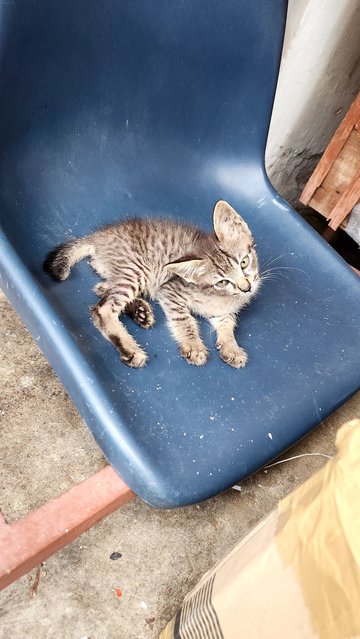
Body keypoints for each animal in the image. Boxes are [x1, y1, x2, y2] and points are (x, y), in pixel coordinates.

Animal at [44, 200, 258, 370]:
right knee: (102, 308)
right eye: (223, 281)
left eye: (244, 262)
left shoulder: (221, 311)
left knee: (102, 289)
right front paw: (193, 345)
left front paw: (231, 347)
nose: (247, 287)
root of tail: (98, 236)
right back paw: (131, 349)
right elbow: (184, 319)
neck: (218, 297)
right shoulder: (170, 291)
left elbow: (228, 322)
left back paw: (139, 311)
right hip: (136, 270)